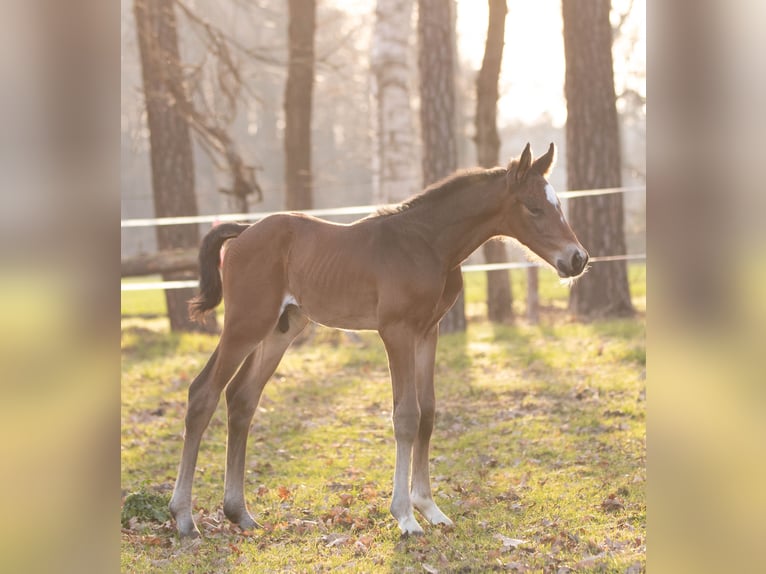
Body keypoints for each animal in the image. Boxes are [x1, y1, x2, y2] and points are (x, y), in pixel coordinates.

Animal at [169, 142, 589, 538]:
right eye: (533, 207)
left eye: (558, 205)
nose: (578, 259)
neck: (426, 243)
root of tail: (243, 231)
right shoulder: (396, 331)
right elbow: (406, 416)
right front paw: (405, 516)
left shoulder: (428, 331)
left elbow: (428, 412)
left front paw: (430, 508)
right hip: (245, 324)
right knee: (203, 393)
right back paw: (184, 518)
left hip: (280, 330)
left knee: (242, 399)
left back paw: (239, 513)